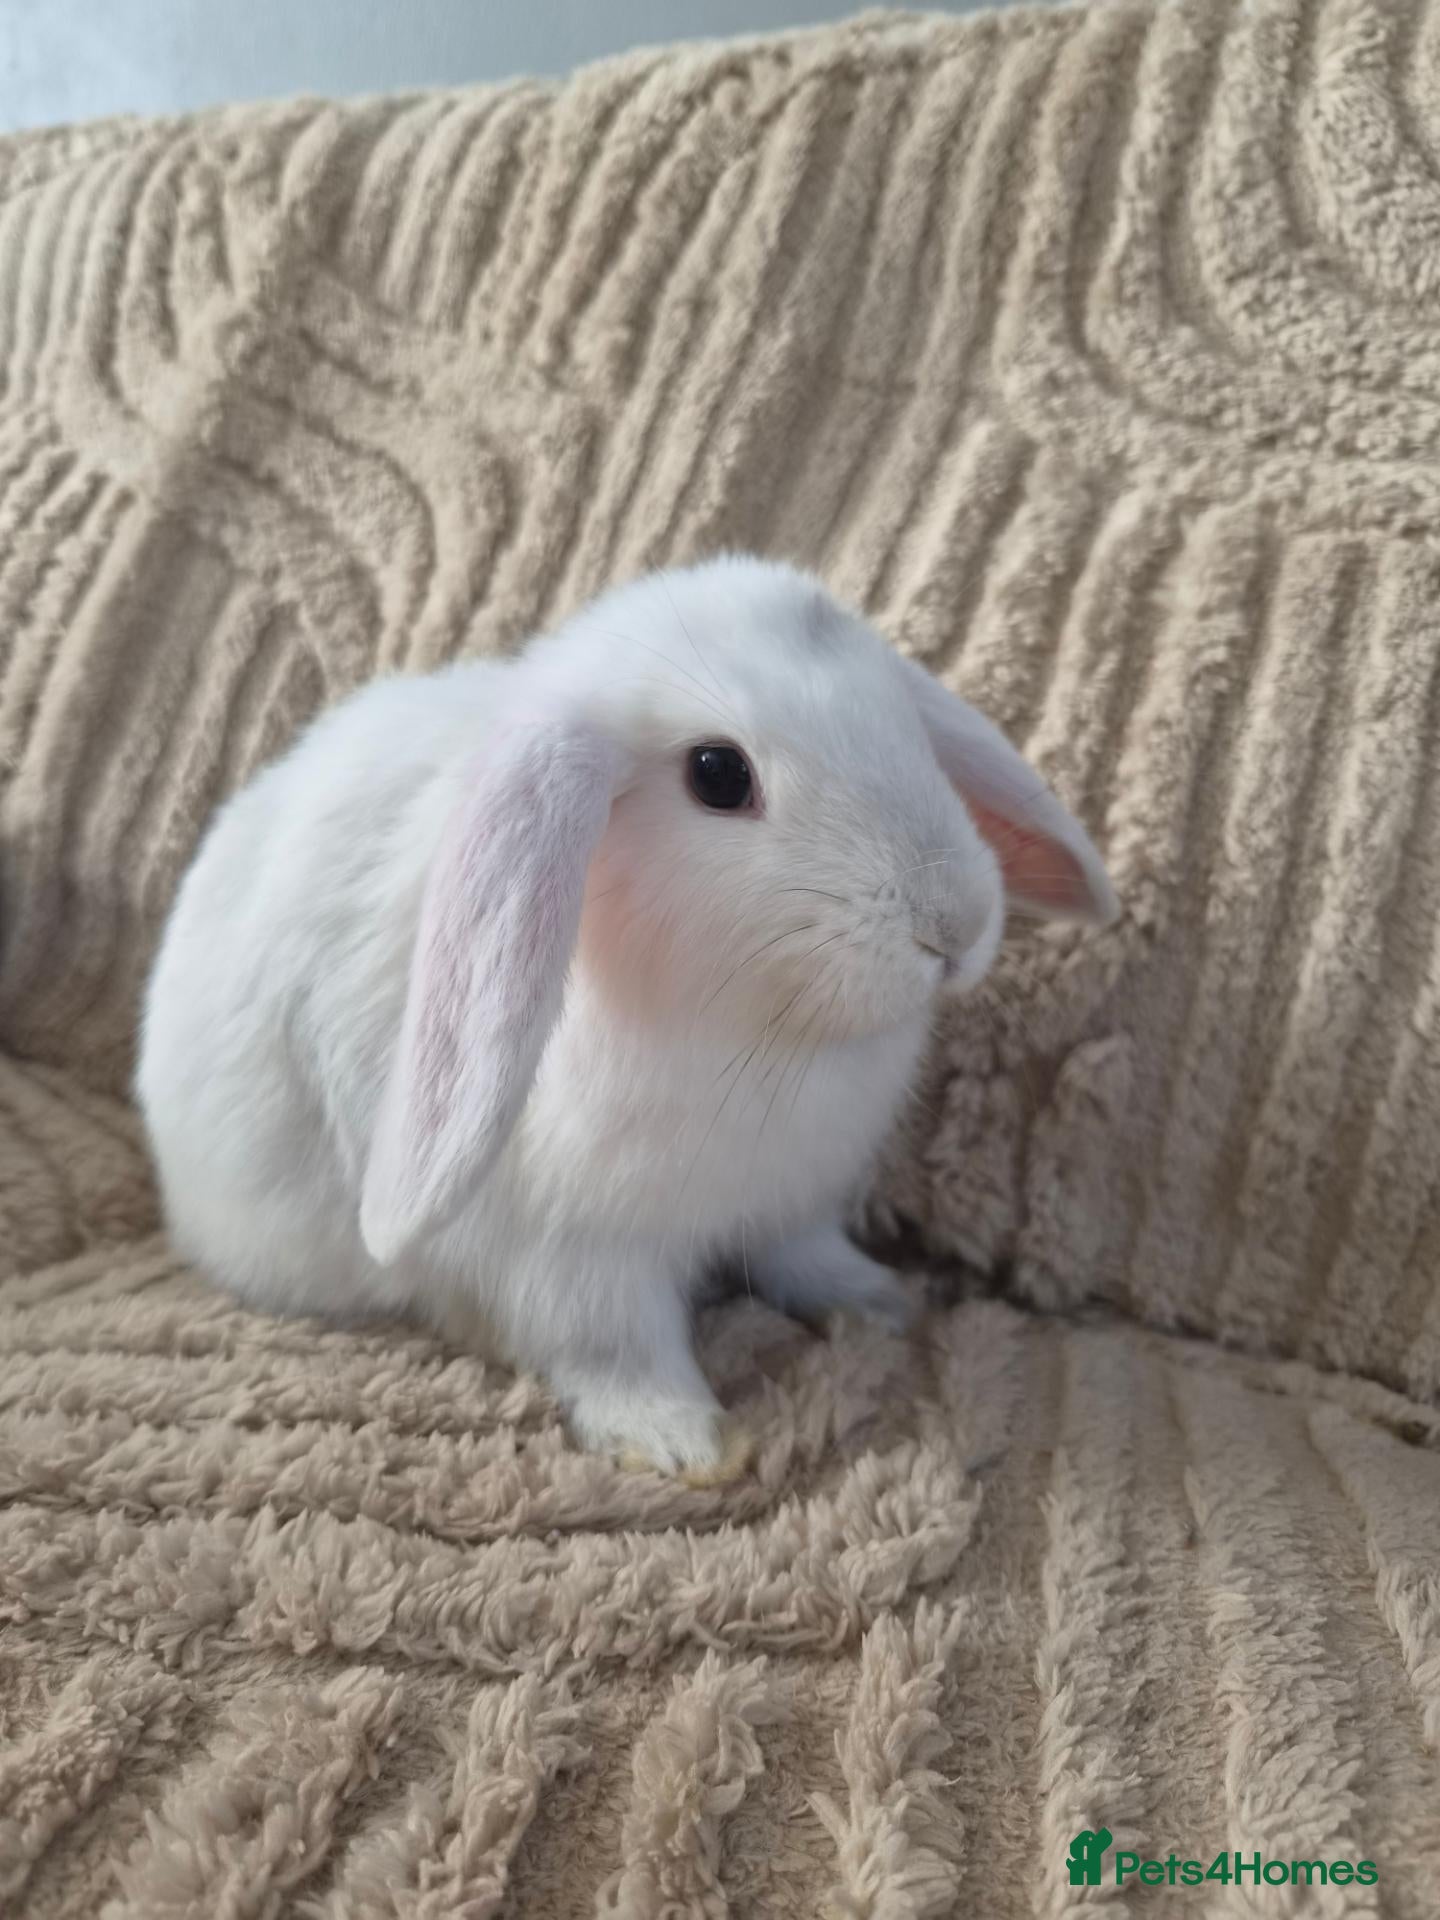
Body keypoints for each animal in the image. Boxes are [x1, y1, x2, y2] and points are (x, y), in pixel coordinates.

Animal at [137, 556, 1116, 1480]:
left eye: (903, 722)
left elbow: (809, 1258)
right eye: (718, 775)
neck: (762, 1034)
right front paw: (683, 1442)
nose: (955, 927)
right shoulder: (575, 1262)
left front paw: (881, 1301)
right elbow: (619, 1349)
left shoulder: (792, 1203)